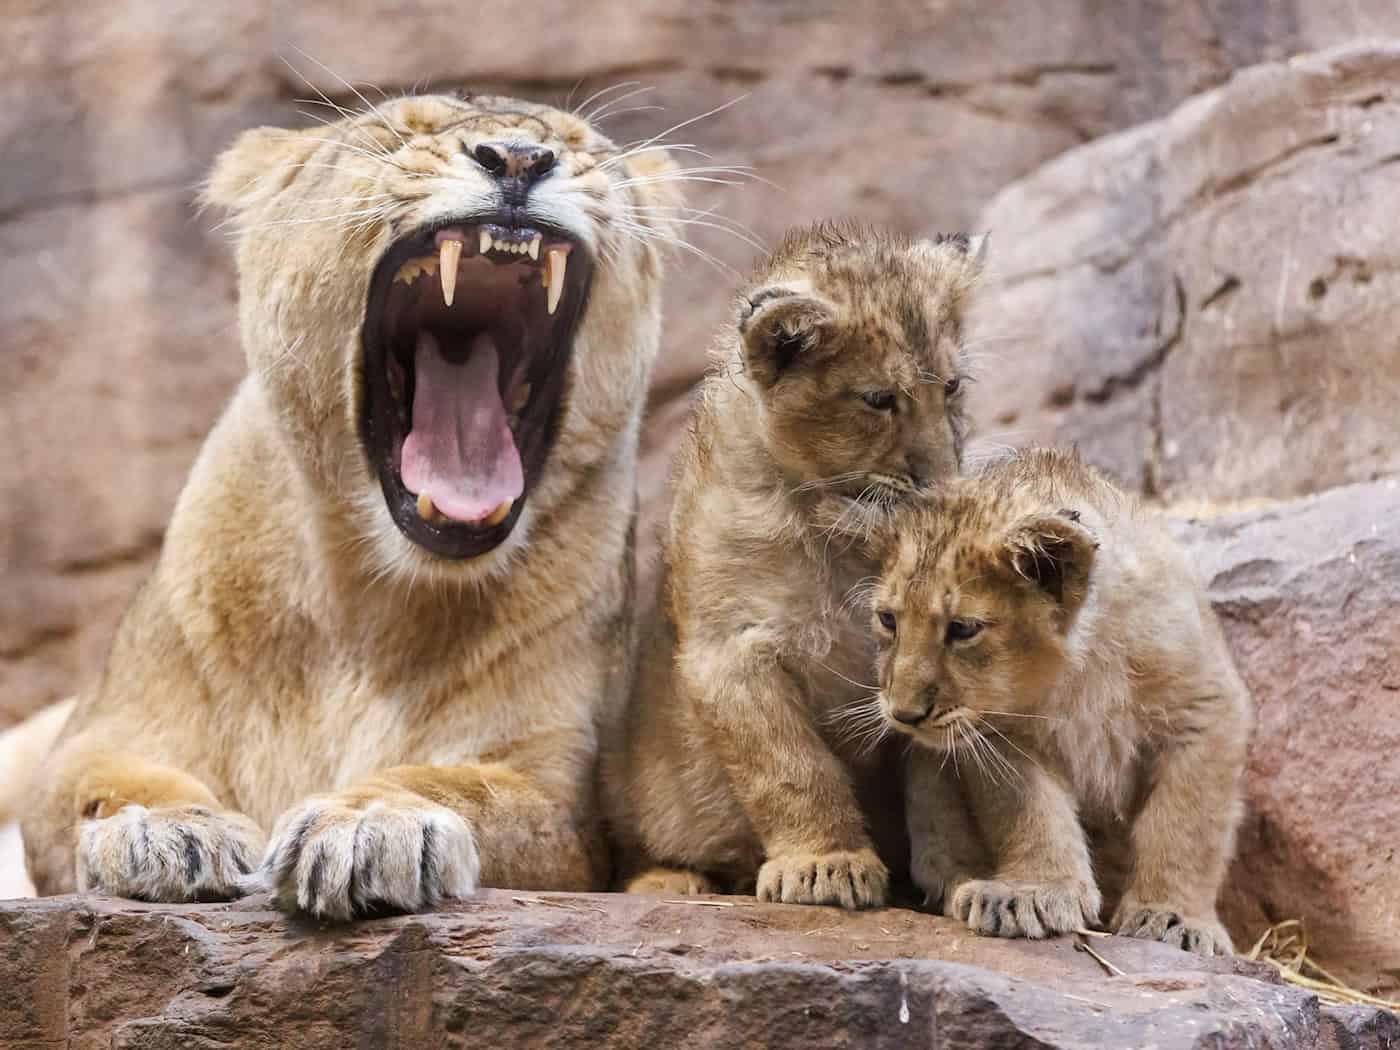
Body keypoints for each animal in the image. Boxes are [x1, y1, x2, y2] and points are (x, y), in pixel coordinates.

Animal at [18, 91, 683, 918]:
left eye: (579, 145)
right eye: (398, 132)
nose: (519, 158)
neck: (370, 605)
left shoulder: (562, 796)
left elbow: (459, 786)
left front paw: (373, 825)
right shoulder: (97, 733)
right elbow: (104, 782)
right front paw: (170, 831)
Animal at [602, 223, 987, 908]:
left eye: (951, 387)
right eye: (880, 399)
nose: (942, 485)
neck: (843, 536)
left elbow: (940, 784)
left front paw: (960, 875)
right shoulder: (732, 649)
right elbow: (790, 767)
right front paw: (826, 864)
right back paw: (671, 881)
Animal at [871, 448, 1251, 953]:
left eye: (963, 629)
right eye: (888, 620)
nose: (904, 714)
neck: (1079, 668)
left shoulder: (1204, 707)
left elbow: (1186, 822)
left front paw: (1174, 917)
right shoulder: (1001, 732)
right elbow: (1031, 814)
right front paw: (1033, 892)